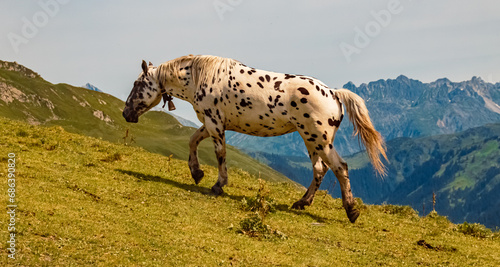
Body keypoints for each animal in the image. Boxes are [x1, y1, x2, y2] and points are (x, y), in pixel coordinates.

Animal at [123, 55, 388, 224]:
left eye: (137, 84)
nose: (126, 113)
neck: (200, 76)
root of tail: (333, 92)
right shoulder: (210, 124)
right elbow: (192, 140)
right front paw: (197, 173)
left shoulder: (214, 124)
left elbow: (220, 155)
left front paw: (218, 185)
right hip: (311, 141)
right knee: (320, 170)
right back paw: (302, 202)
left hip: (318, 140)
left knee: (340, 167)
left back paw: (351, 211)